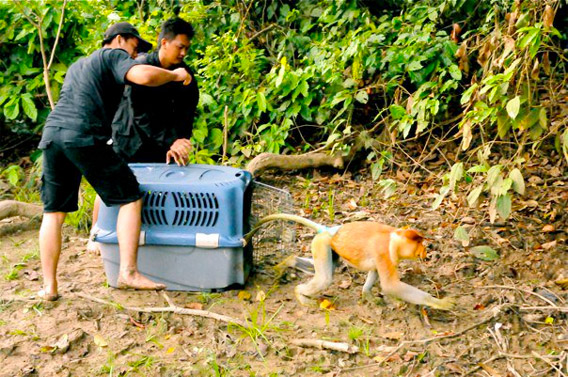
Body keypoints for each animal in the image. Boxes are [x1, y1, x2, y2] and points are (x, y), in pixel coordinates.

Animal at [246, 213, 454, 310]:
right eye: (419, 243)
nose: (425, 252)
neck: (393, 238)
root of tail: (331, 230)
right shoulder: (384, 253)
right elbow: (390, 285)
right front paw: (441, 303)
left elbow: (374, 272)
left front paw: (368, 295)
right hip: (322, 244)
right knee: (324, 279)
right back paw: (299, 294)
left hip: (327, 247)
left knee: (322, 269)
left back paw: (286, 263)